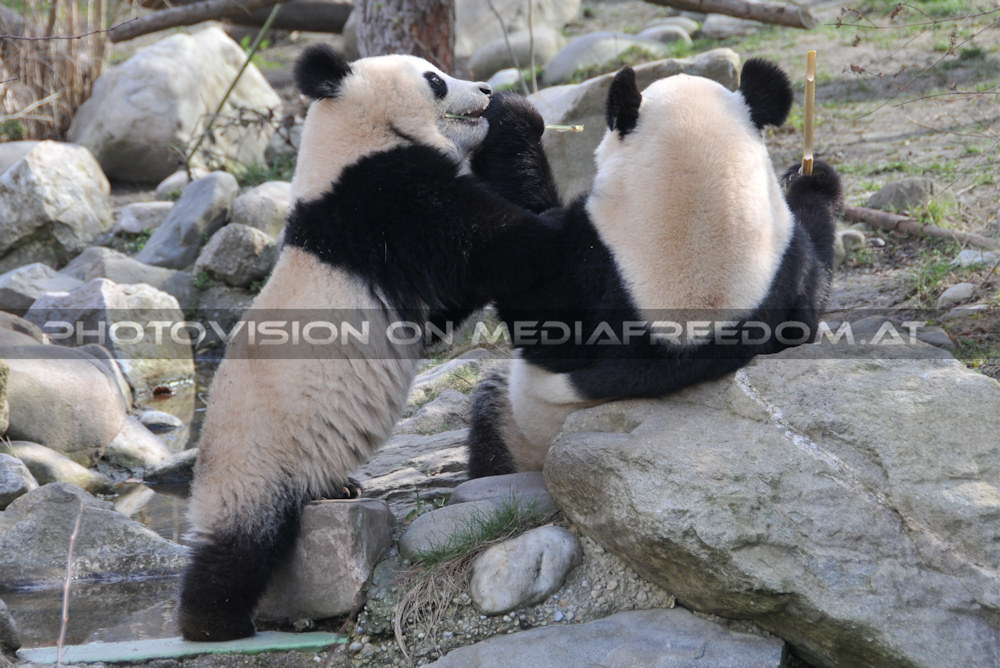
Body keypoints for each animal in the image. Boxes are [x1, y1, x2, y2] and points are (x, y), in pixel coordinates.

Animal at [177, 44, 566, 641]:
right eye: (434, 79)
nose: (482, 90)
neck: (350, 138)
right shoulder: (384, 204)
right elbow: (495, 246)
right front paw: (554, 210)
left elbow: (452, 305)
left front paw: (511, 119)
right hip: (254, 455)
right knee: (240, 541)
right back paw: (213, 621)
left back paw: (340, 491)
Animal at [467, 58, 844, 477]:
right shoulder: (785, 266)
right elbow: (808, 309)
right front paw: (812, 176)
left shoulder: (582, 265)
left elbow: (522, 273)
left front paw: (509, 114)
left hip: (521, 425)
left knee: (489, 415)